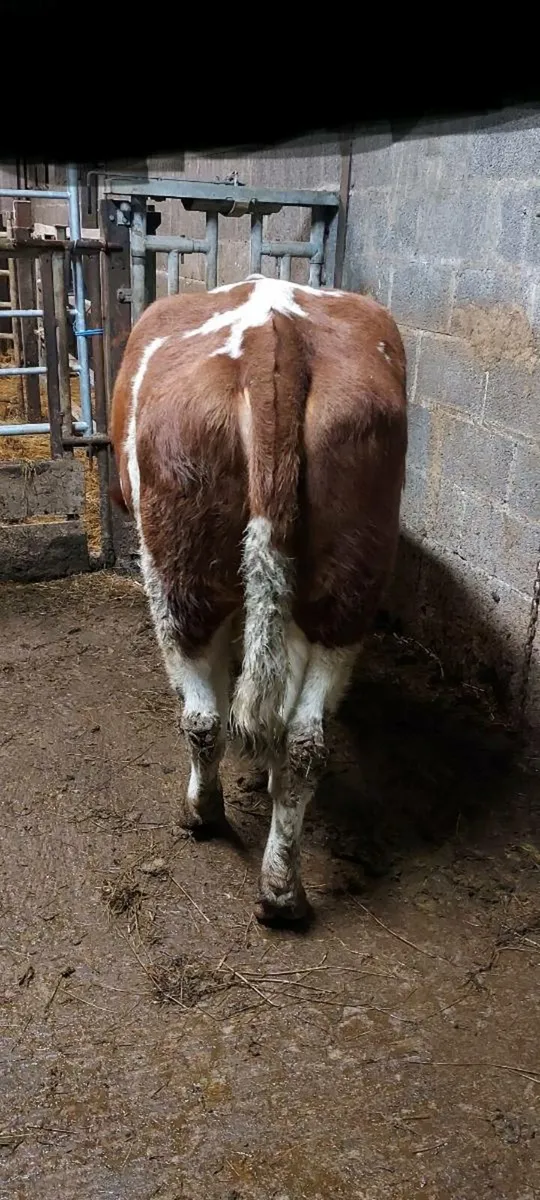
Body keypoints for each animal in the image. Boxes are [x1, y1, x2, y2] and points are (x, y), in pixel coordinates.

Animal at [110, 274, 408, 924]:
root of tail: (276, 338)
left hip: (177, 574)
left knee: (201, 717)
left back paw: (202, 814)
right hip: (347, 584)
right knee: (304, 739)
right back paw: (281, 889)